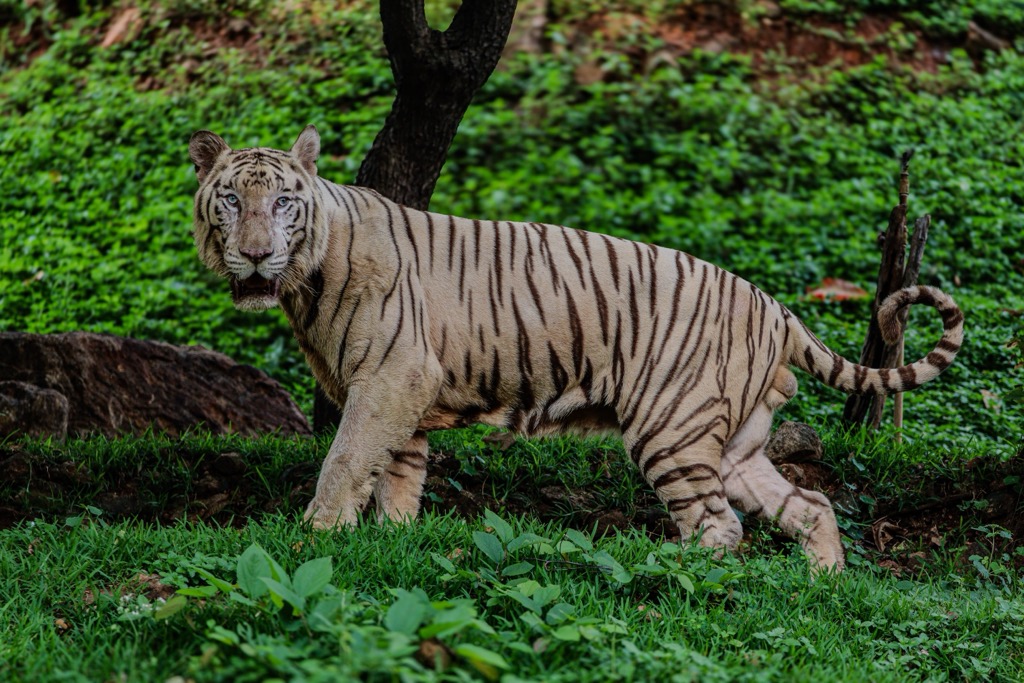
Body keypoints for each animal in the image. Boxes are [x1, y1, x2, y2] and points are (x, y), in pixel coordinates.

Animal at [188, 125, 963, 572]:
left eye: (283, 202)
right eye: (230, 200)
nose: (254, 255)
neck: (303, 282)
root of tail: (776, 308)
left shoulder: (389, 377)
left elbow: (346, 460)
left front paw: (313, 540)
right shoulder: (405, 389)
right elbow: (397, 475)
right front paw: (391, 542)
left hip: (672, 428)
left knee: (720, 526)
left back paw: (666, 568)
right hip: (736, 442)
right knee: (809, 503)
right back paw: (822, 581)